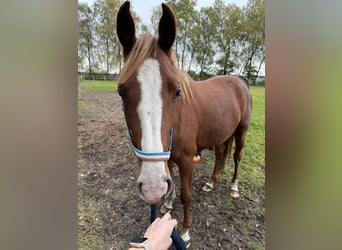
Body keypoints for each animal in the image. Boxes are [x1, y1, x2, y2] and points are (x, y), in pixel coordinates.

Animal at [116, 0, 252, 245]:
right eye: (121, 92)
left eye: (177, 91)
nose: (151, 188)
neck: (177, 122)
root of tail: (239, 80)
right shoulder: (167, 156)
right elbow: (170, 183)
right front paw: (167, 204)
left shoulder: (188, 160)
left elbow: (185, 194)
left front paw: (185, 231)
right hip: (221, 133)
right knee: (220, 155)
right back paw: (211, 182)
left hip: (241, 131)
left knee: (237, 156)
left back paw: (234, 187)